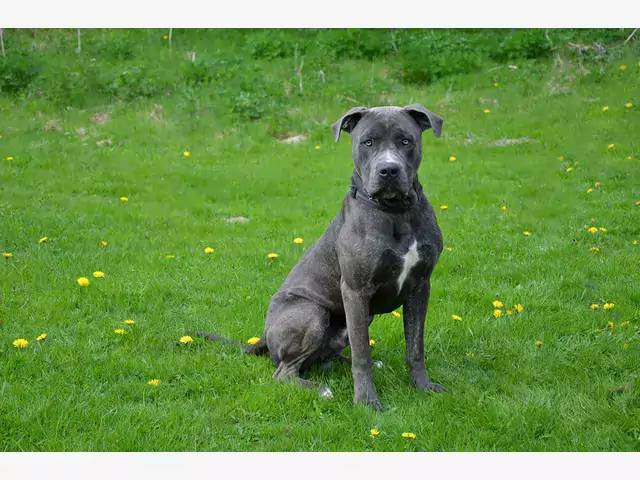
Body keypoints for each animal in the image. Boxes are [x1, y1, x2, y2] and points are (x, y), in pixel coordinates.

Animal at [194, 103, 444, 410]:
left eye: (406, 141)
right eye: (368, 142)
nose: (388, 170)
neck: (396, 213)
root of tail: (264, 336)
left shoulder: (420, 286)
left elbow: (415, 346)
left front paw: (423, 387)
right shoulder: (356, 291)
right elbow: (362, 355)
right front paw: (366, 401)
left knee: (330, 356)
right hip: (312, 313)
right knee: (285, 372)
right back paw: (321, 389)